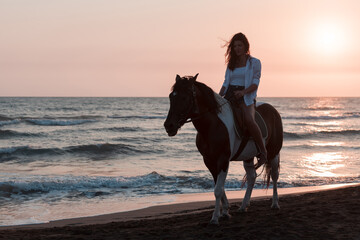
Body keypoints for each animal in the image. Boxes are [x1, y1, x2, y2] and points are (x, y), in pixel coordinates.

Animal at [164, 73, 284, 225]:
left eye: (184, 97)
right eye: (171, 96)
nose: (169, 126)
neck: (212, 125)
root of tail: (273, 110)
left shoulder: (223, 160)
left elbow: (218, 190)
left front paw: (215, 218)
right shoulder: (209, 161)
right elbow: (218, 188)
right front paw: (225, 212)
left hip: (273, 153)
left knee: (274, 175)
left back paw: (275, 203)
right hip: (248, 156)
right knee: (252, 177)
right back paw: (243, 206)